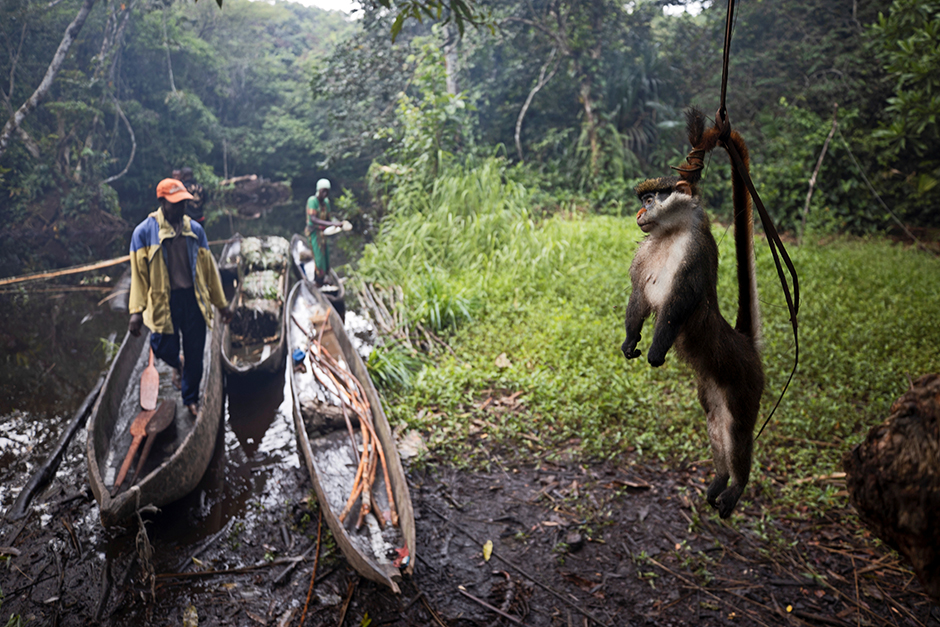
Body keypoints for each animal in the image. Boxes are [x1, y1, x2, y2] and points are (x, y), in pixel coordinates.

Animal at [624, 108, 764, 520]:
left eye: (652, 197)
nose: (639, 211)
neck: (670, 233)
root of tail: (745, 345)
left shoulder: (696, 249)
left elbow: (678, 303)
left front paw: (656, 352)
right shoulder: (645, 251)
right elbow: (639, 297)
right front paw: (630, 341)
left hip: (745, 386)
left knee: (739, 433)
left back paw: (736, 486)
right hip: (711, 390)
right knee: (717, 428)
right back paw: (720, 479)